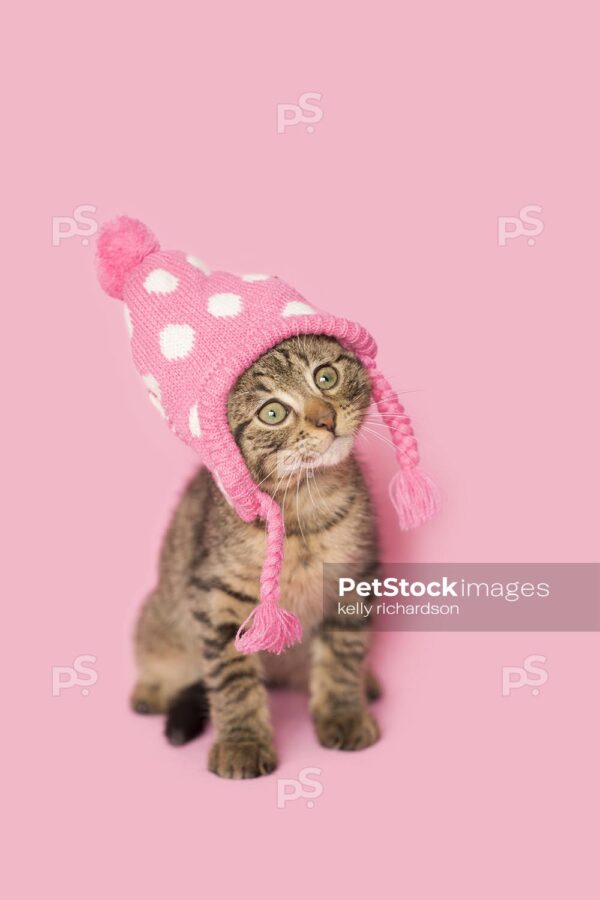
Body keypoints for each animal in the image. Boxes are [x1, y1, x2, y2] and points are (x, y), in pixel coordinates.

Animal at [131, 334, 380, 776]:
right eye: (273, 412)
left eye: (326, 376)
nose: (325, 419)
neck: (304, 506)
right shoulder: (216, 594)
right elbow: (232, 676)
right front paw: (242, 743)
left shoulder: (352, 578)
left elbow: (344, 652)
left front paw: (344, 712)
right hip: (160, 622)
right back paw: (151, 689)